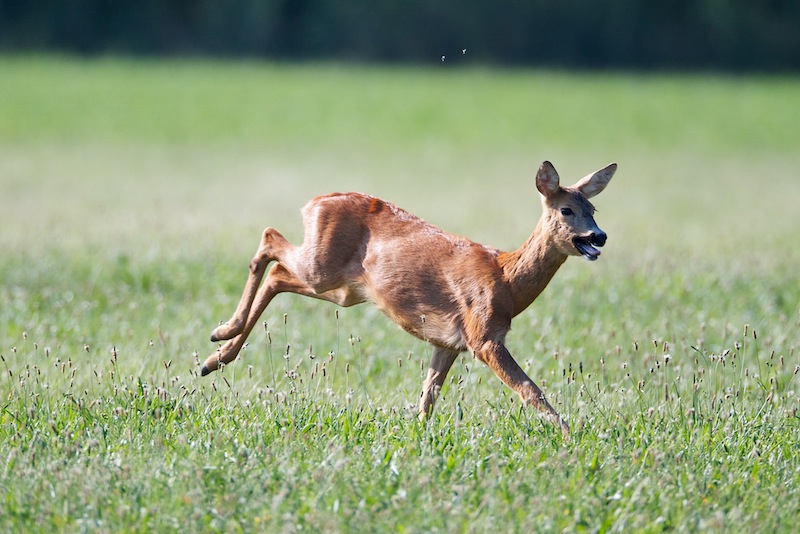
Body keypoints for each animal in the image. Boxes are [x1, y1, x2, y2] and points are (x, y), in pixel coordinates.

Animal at [202, 161, 620, 438]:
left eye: (593, 208)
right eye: (566, 209)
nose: (599, 236)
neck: (505, 281)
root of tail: (315, 201)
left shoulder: (449, 342)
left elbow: (428, 394)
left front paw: (417, 433)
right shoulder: (483, 336)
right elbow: (529, 389)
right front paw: (571, 433)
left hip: (342, 288)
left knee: (276, 269)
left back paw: (215, 356)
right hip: (321, 269)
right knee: (271, 243)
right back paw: (221, 336)